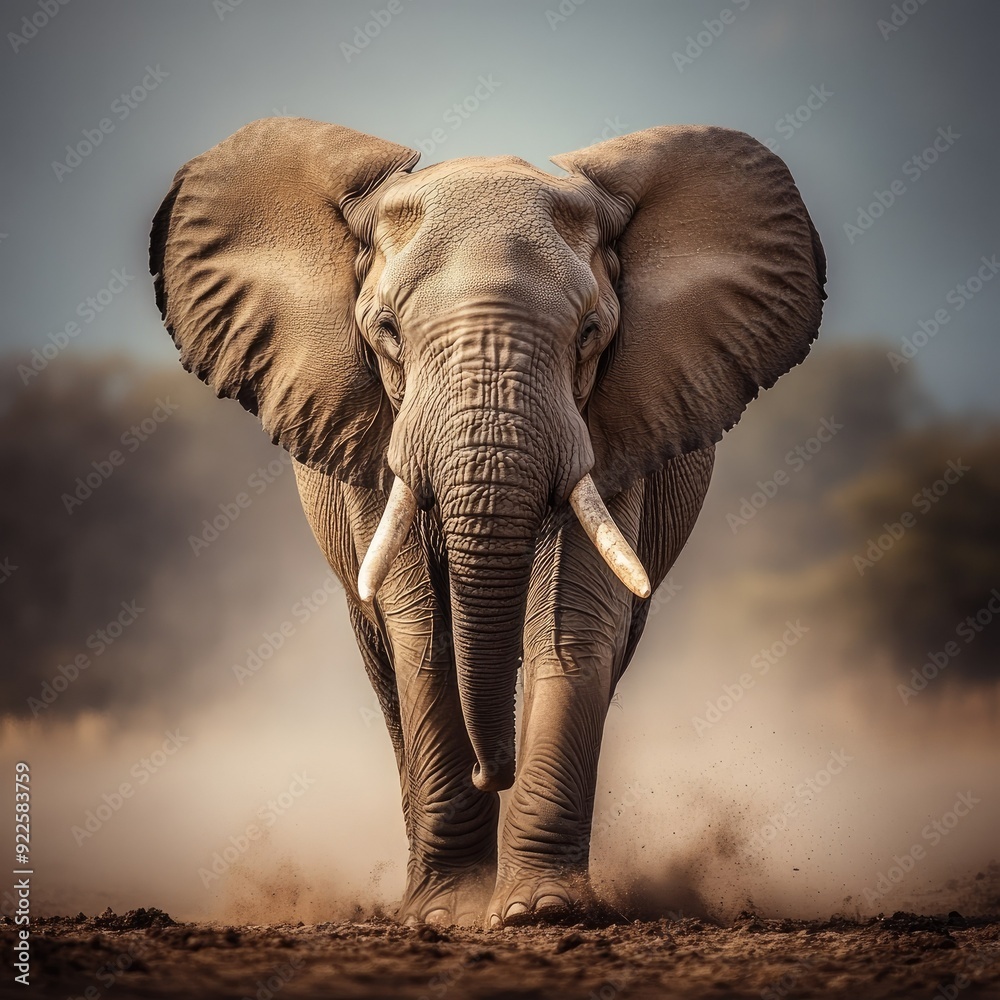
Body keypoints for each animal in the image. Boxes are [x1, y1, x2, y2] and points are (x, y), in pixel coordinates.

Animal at [150, 117, 826, 929]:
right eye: (386, 331)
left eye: (591, 333)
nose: (487, 773)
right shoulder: (376, 433)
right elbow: (421, 630)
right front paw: (447, 916)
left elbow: (572, 622)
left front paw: (540, 912)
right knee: (386, 669)